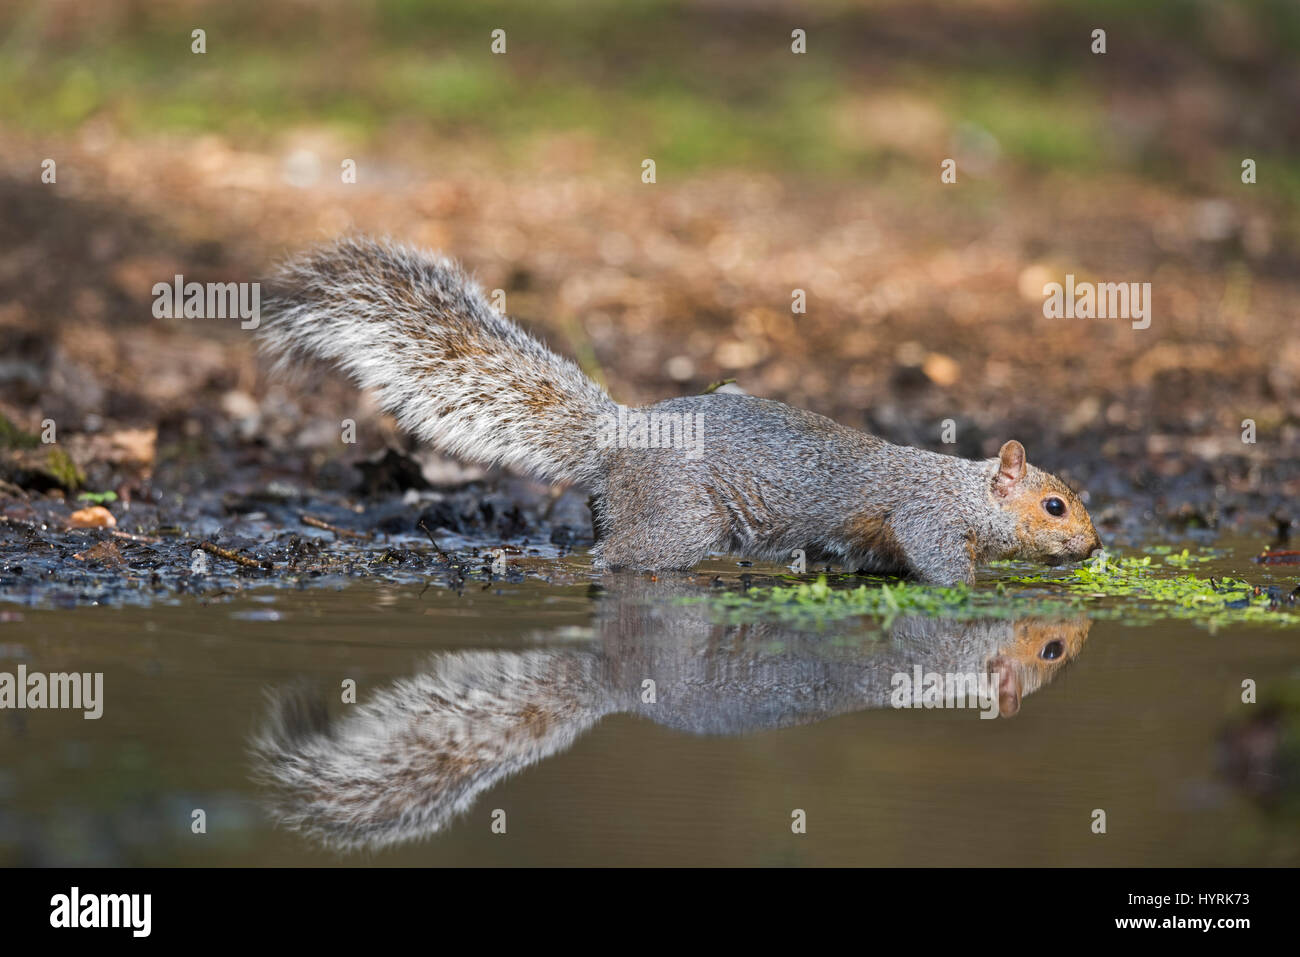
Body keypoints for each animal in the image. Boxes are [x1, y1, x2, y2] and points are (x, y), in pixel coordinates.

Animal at [258, 237, 1102, 582]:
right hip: (680, 520)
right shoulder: (923, 517)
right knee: (617, 557)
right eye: (1055, 505)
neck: (963, 489)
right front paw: (983, 590)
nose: (1095, 546)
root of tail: (622, 434)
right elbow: (944, 569)